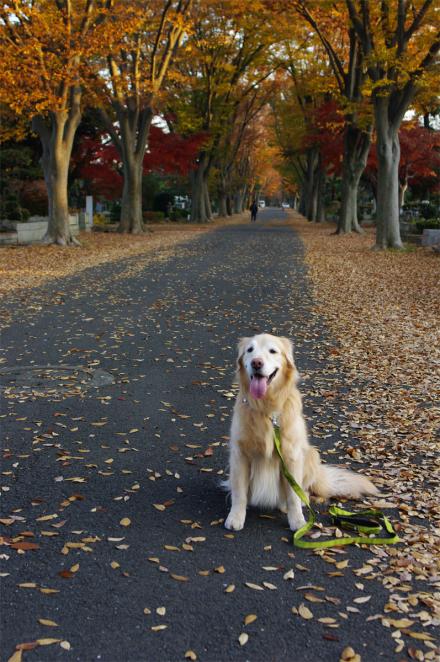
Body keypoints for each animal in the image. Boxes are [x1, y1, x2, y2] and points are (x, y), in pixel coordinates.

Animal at [225, 334, 376, 532]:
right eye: (250, 350)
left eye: (272, 351)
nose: (256, 363)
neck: (267, 409)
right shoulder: (240, 454)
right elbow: (239, 493)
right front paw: (236, 516)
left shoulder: (291, 456)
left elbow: (293, 495)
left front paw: (297, 520)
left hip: (311, 454)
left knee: (300, 490)